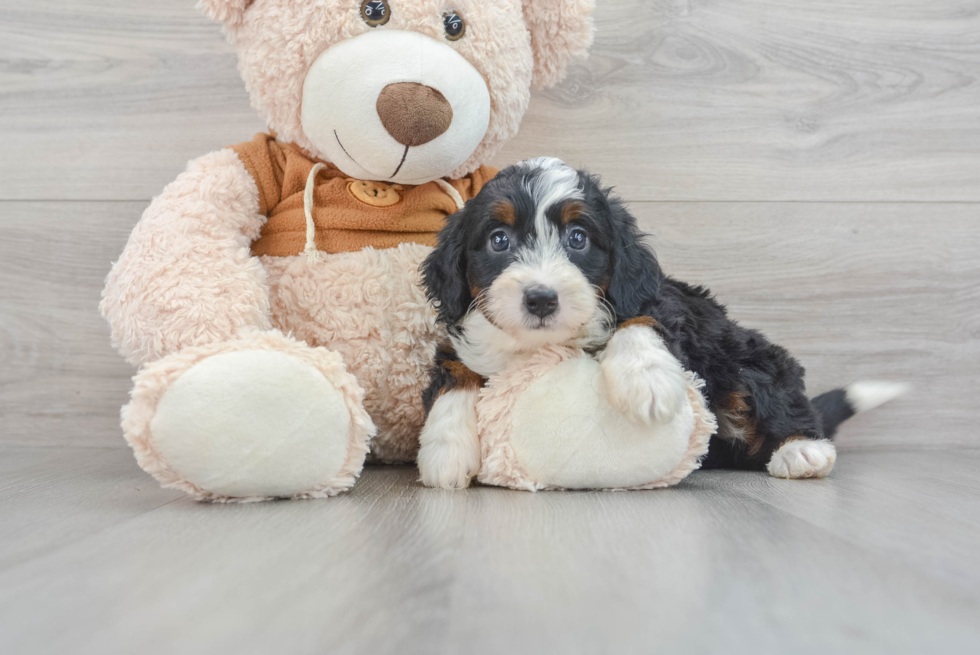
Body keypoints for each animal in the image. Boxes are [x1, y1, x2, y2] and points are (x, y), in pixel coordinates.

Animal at [418, 158, 908, 486]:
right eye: (499, 240)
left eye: (578, 238)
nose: (541, 299)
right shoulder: (460, 337)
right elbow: (454, 376)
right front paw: (445, 453)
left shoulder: (662, 302)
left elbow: (641, 318)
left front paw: (648, 383)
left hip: (745, 358)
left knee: (777, 392)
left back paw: (803, 449)